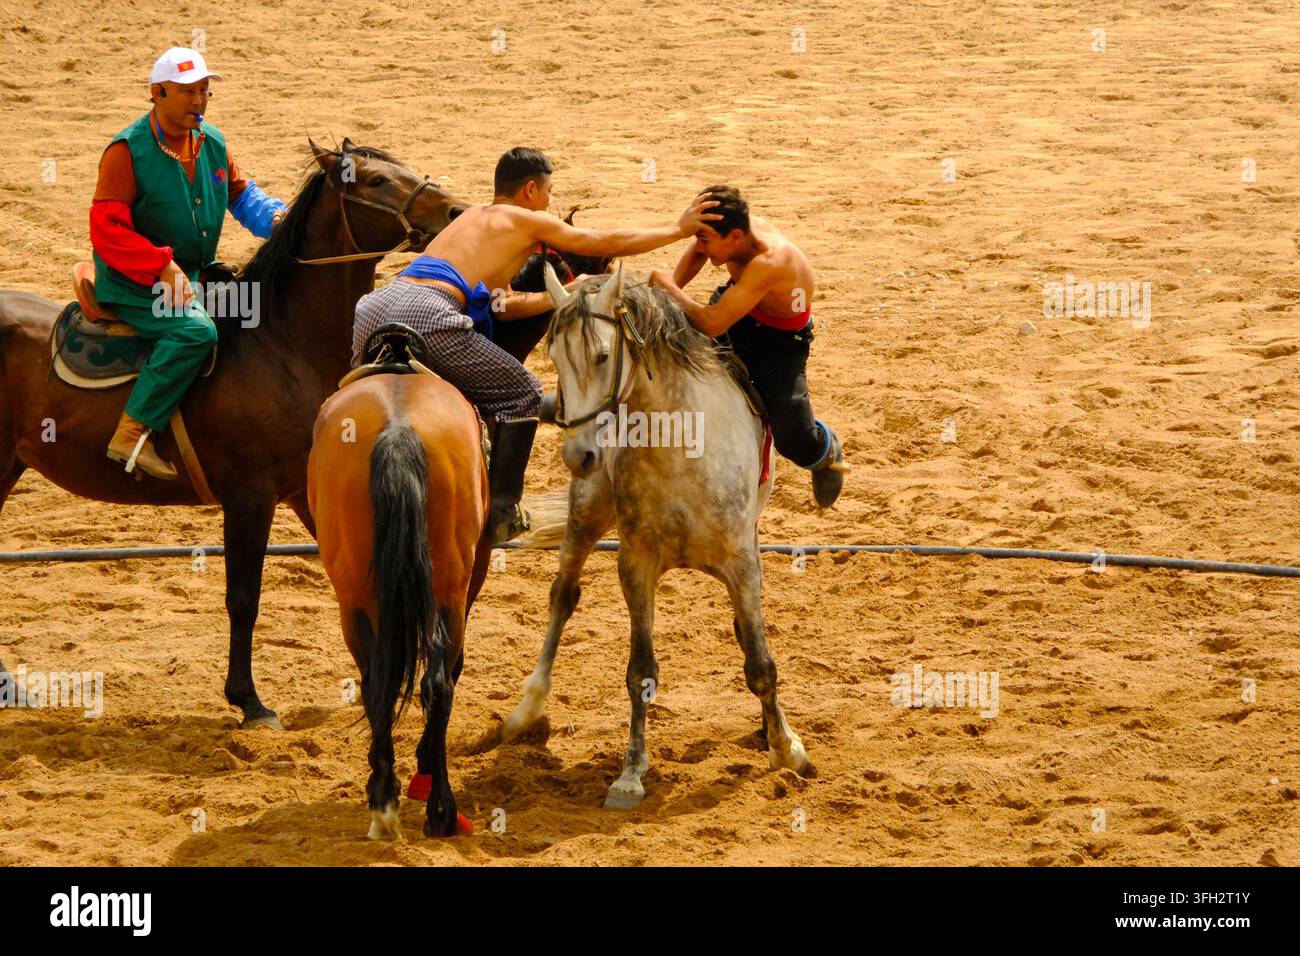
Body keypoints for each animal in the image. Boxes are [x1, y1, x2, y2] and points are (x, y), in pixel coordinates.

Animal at [0, 138, 468, 729]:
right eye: (378, 180)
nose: (455, 211)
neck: (279, 345)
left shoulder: (302, 491)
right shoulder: (250, 495)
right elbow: (243, 598)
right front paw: (248, 699)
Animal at [307, 336, 488, 839]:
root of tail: (397, 431)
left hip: (358, 601)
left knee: (387, 685)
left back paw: (395, 803)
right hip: (443, 592)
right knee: (428, 684)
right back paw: (433, 808)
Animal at [503, 262, 813, 809]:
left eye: (603, 355)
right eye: (554, 357)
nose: (579, 454)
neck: (681, 449)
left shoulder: (743, 563)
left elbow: (759, 661)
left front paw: (785, 746)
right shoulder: (637, 565)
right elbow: (640, 672)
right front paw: (631, 774)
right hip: (586, 514)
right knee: (563, 595)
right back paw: (528, 706)